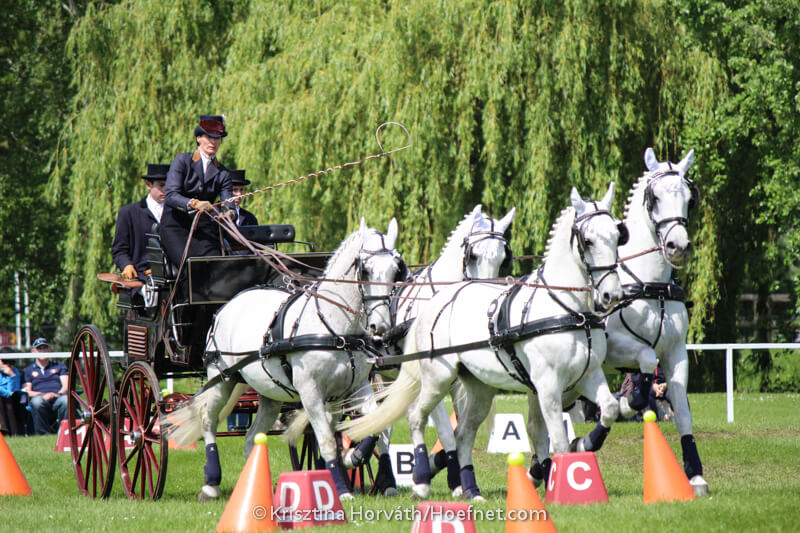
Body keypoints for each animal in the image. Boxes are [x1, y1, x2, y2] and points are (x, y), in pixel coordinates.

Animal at [164, 218, 406, 501]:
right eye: (365, 270)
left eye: (396, 269)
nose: (381, 325)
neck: (336, 328)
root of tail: (229, 304)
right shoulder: (310, 392)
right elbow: (326, 440)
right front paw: (341, 489)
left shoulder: (358, 386)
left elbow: (377, 425)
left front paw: (352, 456)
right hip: (221, 378)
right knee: (208, 421)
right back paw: (211, 484)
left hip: (269, 394)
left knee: (251, 437)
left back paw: (262, 489)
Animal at [341, 184, 624, 500]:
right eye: (587, 240)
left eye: (618, 236)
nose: (611, 295)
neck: (569, 310)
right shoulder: (547, 383)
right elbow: (556, 439)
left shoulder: (586, 376)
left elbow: (608, 410)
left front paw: (579, 447)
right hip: (426, 377)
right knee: (408, 418)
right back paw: (412, 480)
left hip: (475, 387)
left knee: (456, 431)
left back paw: (467, 487)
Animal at [603, 147, 709, 496]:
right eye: (655, 197)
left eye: (690, 198)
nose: (679, 247)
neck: (651, 287)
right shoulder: (613, 350)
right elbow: (645, 365)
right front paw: (631, 401)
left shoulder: (676, 353)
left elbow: (683, 413)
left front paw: (696, 475)